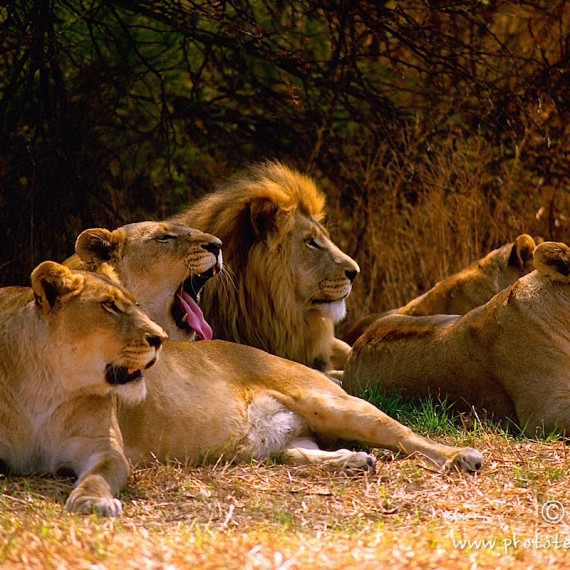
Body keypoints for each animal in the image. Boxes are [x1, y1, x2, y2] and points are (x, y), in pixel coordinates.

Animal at [0, 262, 166, 516]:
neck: (45, 386)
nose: (161, 338)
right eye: (109, 305)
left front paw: (93, 501)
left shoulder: (103, 446)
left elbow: (98, 475)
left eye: (137, 304)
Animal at [69, 220, 482, 472]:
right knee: (296, 450)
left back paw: (461, 456)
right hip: (284, 439)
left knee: (407, 436)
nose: (217, 245)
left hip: (334, 403)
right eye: (164, 237)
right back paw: (351, 461)